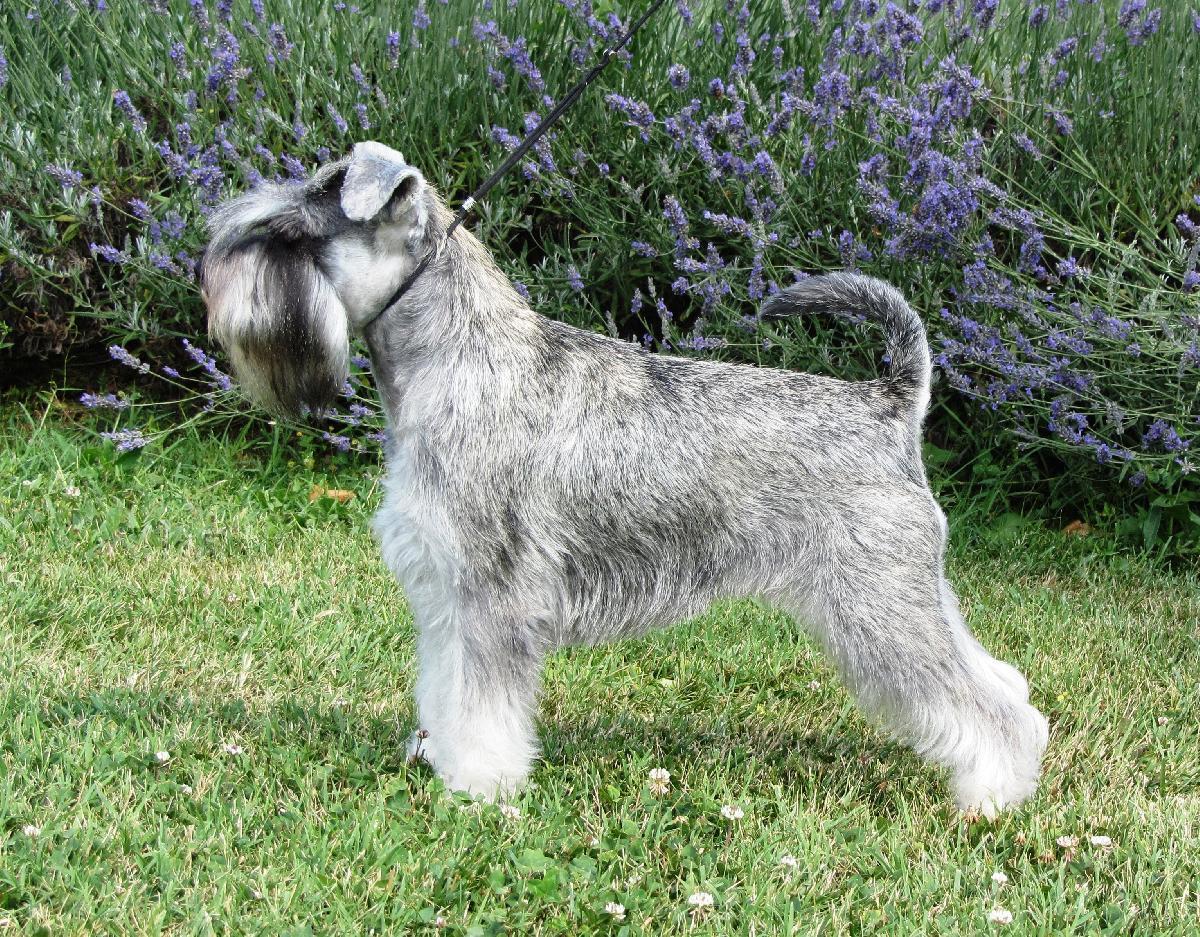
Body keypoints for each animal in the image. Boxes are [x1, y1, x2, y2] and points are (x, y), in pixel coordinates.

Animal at [200, 141, 1048, 817]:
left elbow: (483, 705)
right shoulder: (447, 594)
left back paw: (994, 796)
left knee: (981, 701)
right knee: (1002, 679)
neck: (460, 357)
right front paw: (444, 763)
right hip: (908, 593)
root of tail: (895, 400)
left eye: (287, 234)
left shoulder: (492, 596)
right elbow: (447, 687)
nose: (208, 283)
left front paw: (479, 789)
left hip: (879, 604)